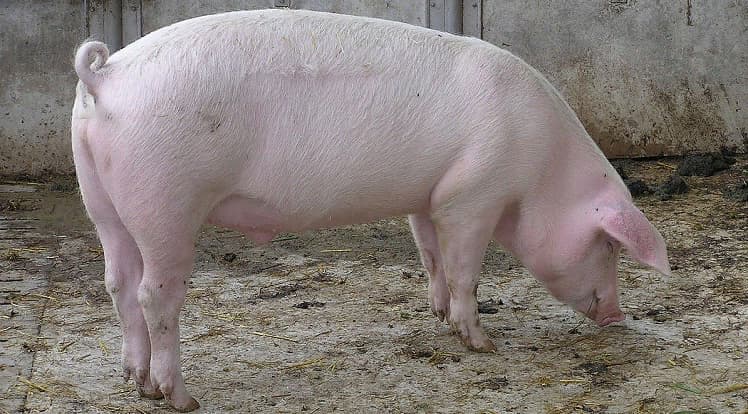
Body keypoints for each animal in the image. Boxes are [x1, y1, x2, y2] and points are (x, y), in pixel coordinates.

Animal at [71, 9, 670, 412]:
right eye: (609, 246)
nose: (616, 315)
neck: (542, 169)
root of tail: (104, 75)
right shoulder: (472, 195)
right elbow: (466, 270)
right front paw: (482, 343)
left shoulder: (428, 197)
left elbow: (430, 257)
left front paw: (438, 316)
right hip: (166, 203)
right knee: (154, 296)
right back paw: (180, 398)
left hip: (103, 203)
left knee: (117, 283)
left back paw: (137, 380)